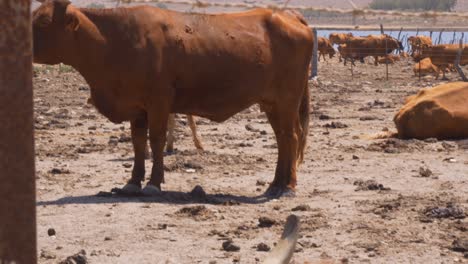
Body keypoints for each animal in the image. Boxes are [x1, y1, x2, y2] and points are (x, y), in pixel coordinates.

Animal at [32, 0, 310, 197]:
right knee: (282, 140)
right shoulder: (136, 107)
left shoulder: (158, 102)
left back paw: (288, 187)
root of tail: (286, 15)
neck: (114, 41)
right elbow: (137, 143)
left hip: (287, 101)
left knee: (291, 137)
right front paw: (132, 182)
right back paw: (275, 184)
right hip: (272, 104)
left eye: (43, 22)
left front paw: (154, 183)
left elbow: (156, 140)